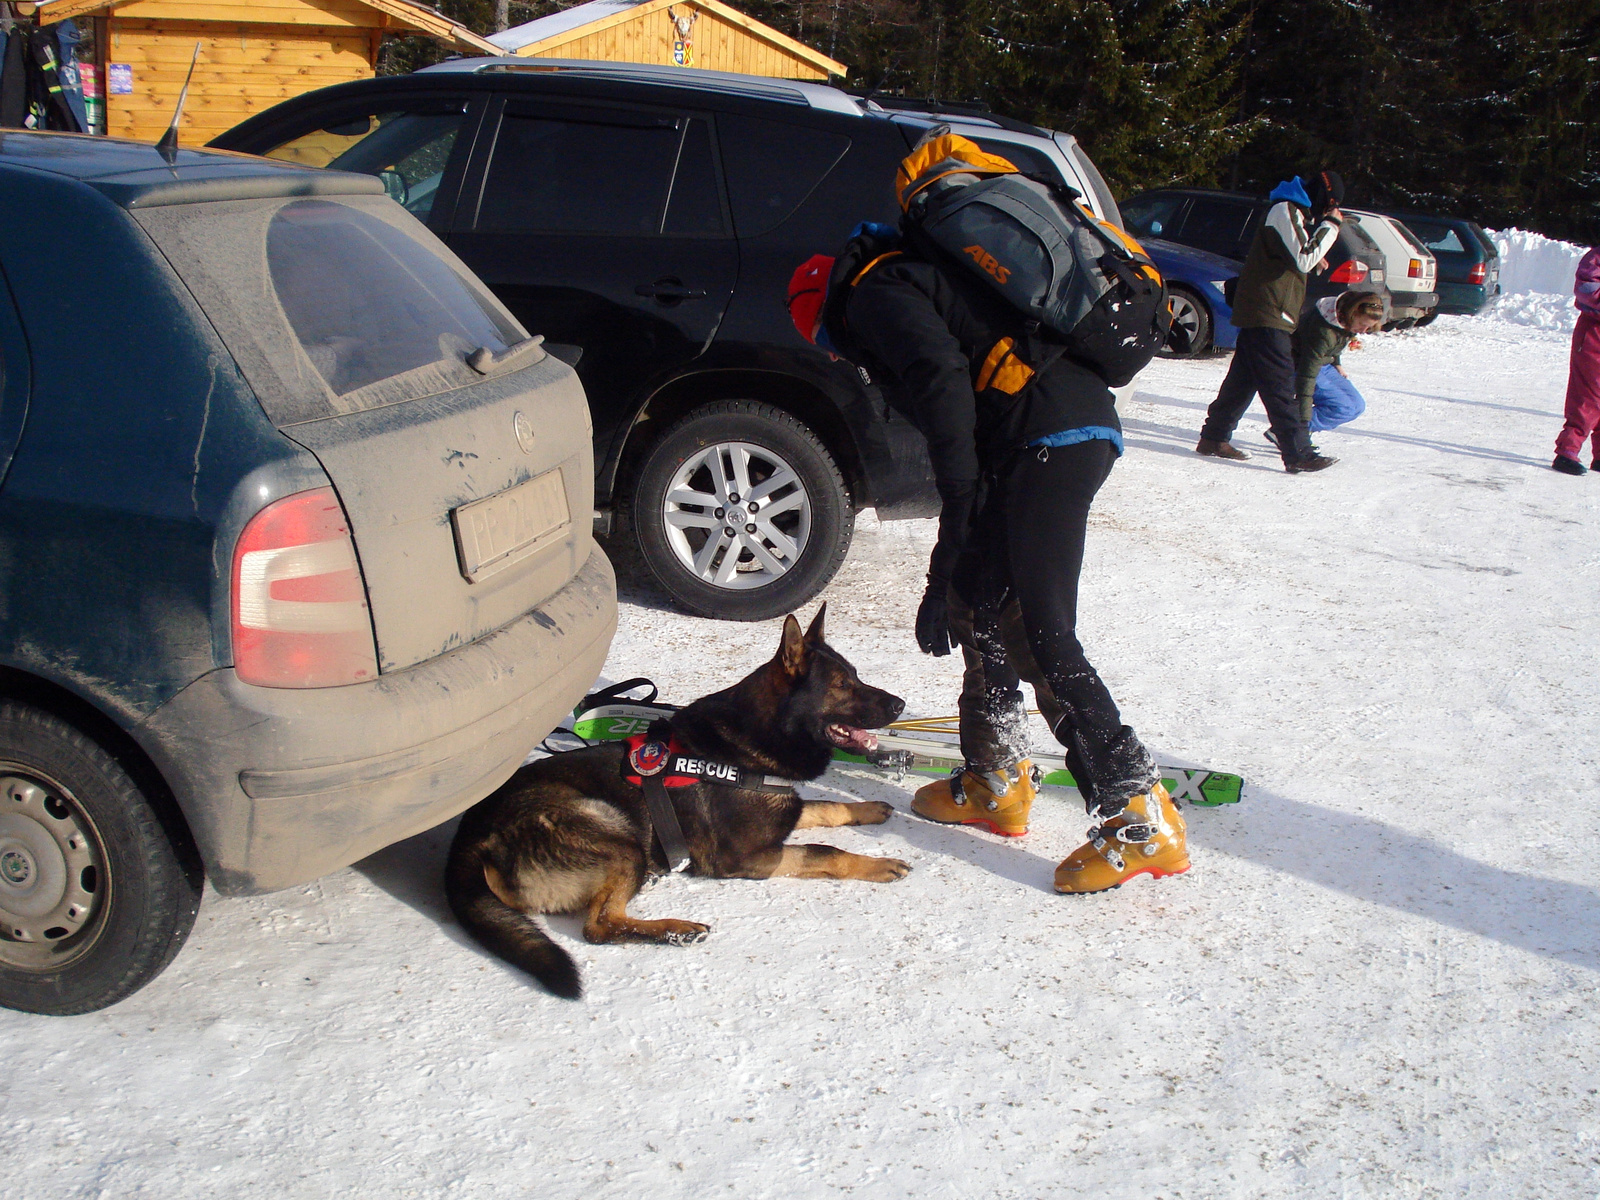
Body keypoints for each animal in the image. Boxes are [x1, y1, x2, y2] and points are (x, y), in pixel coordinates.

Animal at [444, 604, 908, 998]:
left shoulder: (786, 809)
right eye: (842, 686)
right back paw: (676, 929)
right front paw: (878, 864)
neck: (757, 739)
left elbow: (824, 807)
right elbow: (824, 850)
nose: (901, 704)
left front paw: (868, 810)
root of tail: (470, 839)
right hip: (614, 831)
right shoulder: (747, 858)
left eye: (857, 675)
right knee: (600, 926)